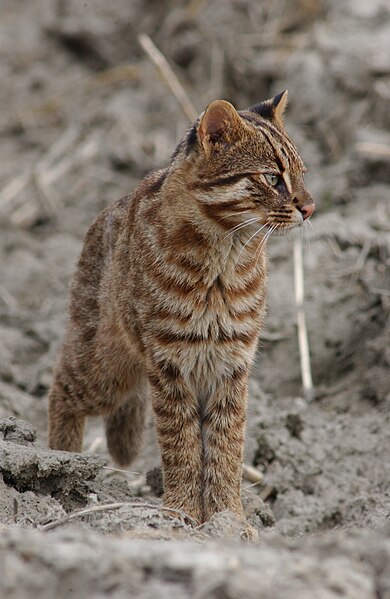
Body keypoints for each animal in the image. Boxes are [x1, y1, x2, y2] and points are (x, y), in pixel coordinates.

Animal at [48, 92, 314, 540]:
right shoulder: (168, 362)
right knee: (60, 386)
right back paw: (57, 463)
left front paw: (228, 520)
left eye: (301, 173)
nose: (310, 207)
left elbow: (226, 447)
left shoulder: (232, 363)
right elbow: (181, 446)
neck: (225, 256)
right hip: (107, 367)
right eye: (272, 177)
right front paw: (181, 515)